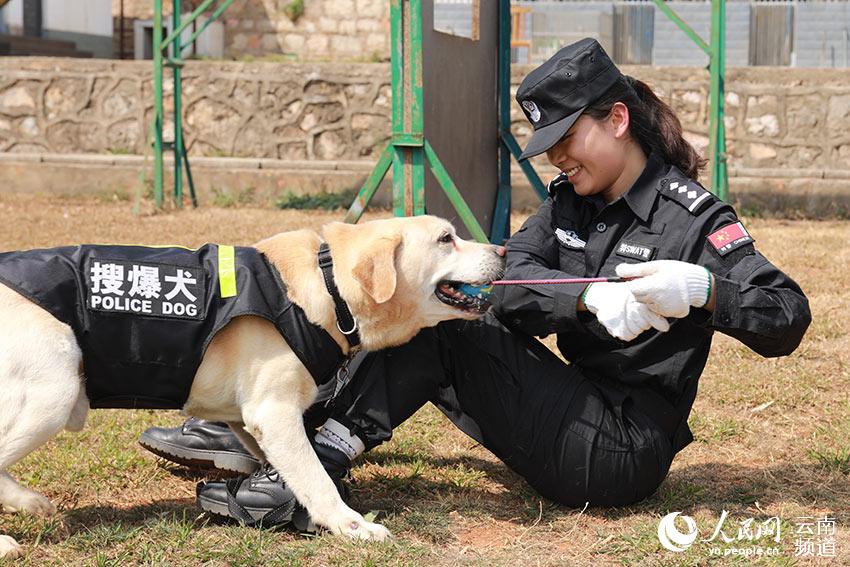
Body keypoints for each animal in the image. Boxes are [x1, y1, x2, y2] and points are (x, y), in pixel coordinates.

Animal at [0, 215, 504, 556]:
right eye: (446, 239)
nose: (502, 251)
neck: (330, 287)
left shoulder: (250, 420)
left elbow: (293, 467)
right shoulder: (274, 413)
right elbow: (316, 478)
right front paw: (352, 526)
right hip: (53, 390)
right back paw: (19, 517)